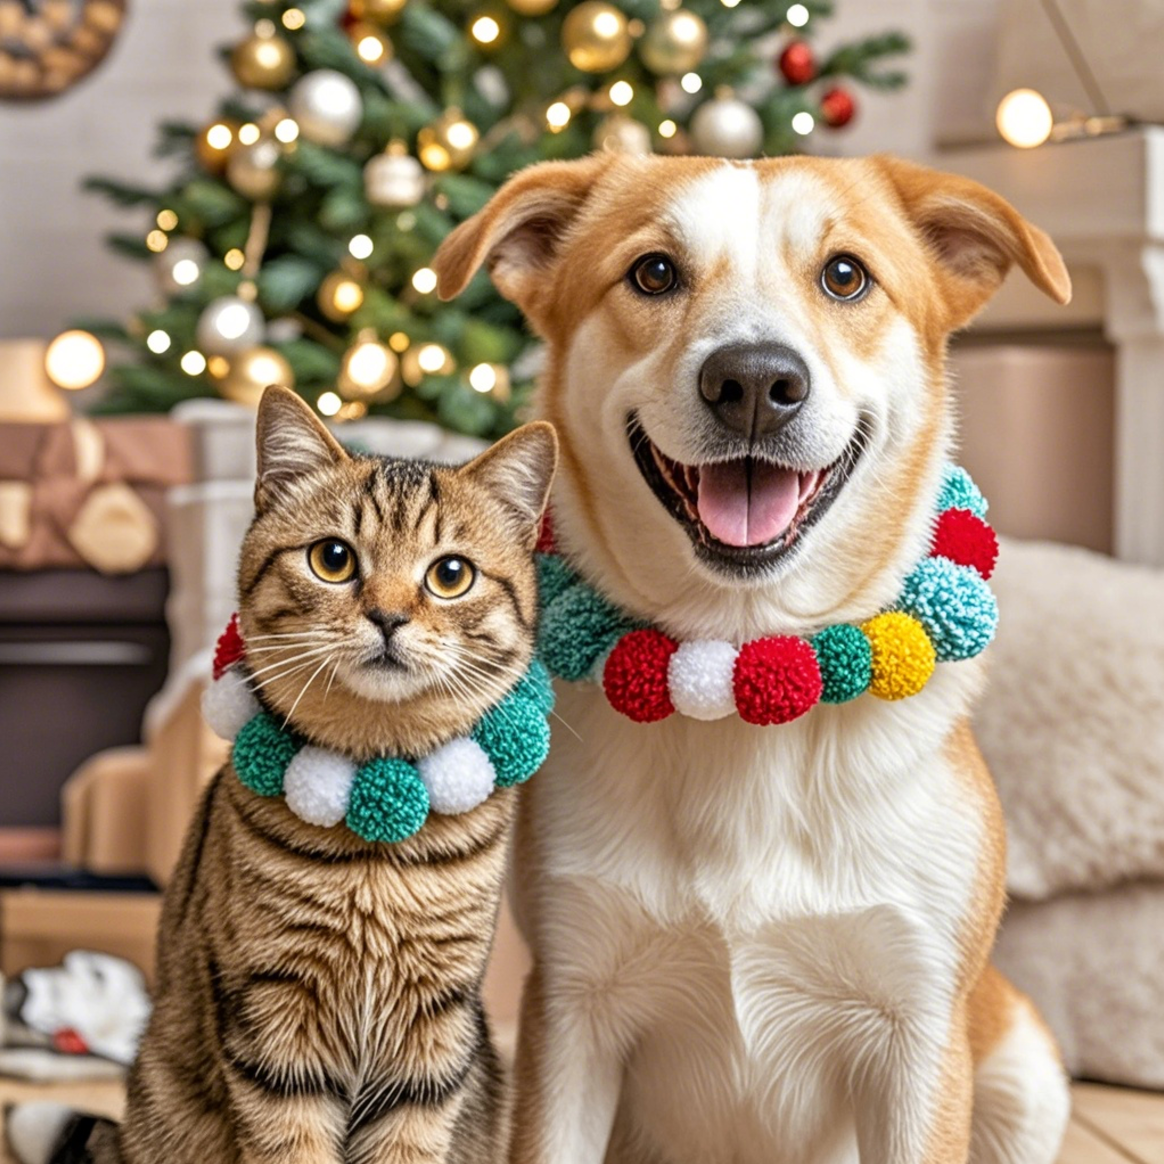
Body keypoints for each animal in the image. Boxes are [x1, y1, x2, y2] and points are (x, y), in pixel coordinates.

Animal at [5, 386, 558, 1159]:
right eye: (334, 559)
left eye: (451, 574)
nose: (388, 616)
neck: (377, 811)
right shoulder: (275, 1016)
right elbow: (292, 1142)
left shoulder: (432, 1029)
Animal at [435, 154, 1070, 1164]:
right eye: (655, 272)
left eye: (845, 275)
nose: (755, 381)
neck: (742, 673)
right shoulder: (572, 1013)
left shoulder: (917, 1030)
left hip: (1021, 1070)